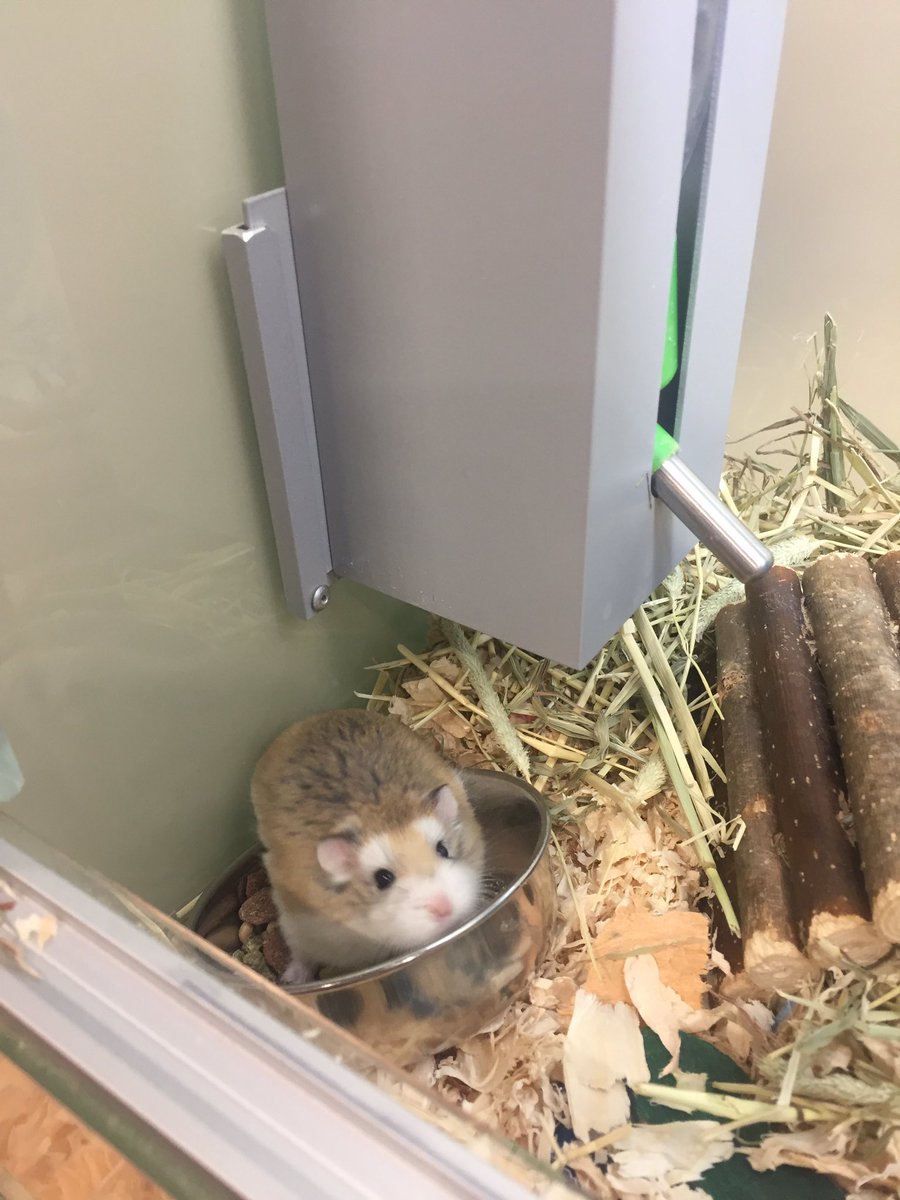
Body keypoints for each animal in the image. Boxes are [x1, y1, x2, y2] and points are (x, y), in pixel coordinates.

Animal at [251, 709, 486, 983]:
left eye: (443, 850)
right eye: (383, 878)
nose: (444, 908)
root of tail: (324, 715)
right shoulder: (300, 926)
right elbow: (302, 956)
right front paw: (291, 980)